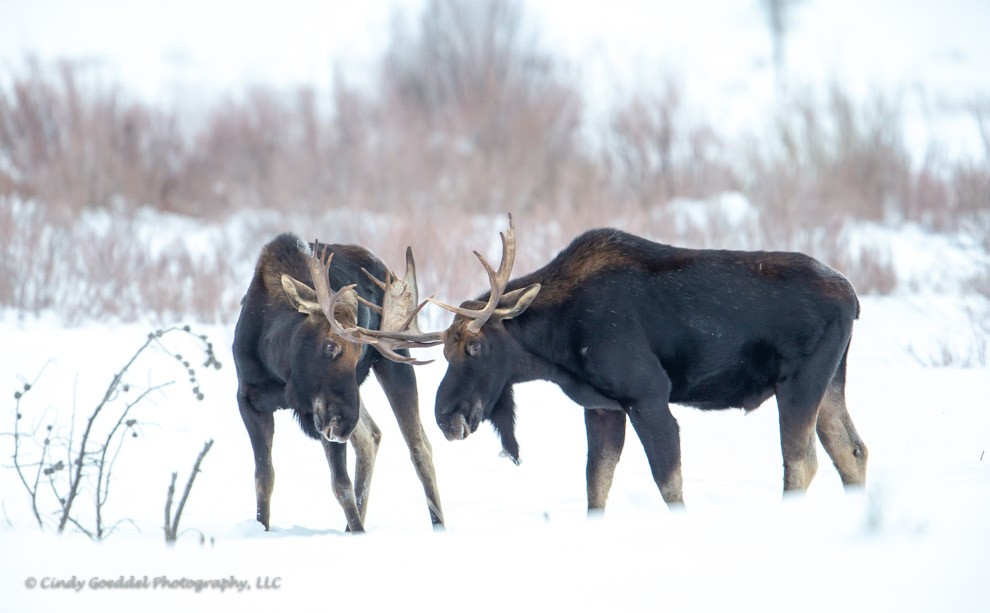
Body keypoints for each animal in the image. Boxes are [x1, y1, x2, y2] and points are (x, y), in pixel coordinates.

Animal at [234, 234, 444, 532]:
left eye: (359, 353)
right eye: (331, 345)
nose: (344, 423)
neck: (278, 367)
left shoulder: (323, 416)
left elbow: (340, 485)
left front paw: (358, 531)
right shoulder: (248, 400)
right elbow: (264, 478)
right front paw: (262, 526)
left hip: (393, 359)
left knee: (419, 447)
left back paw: (439, 525)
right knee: (370, 436)